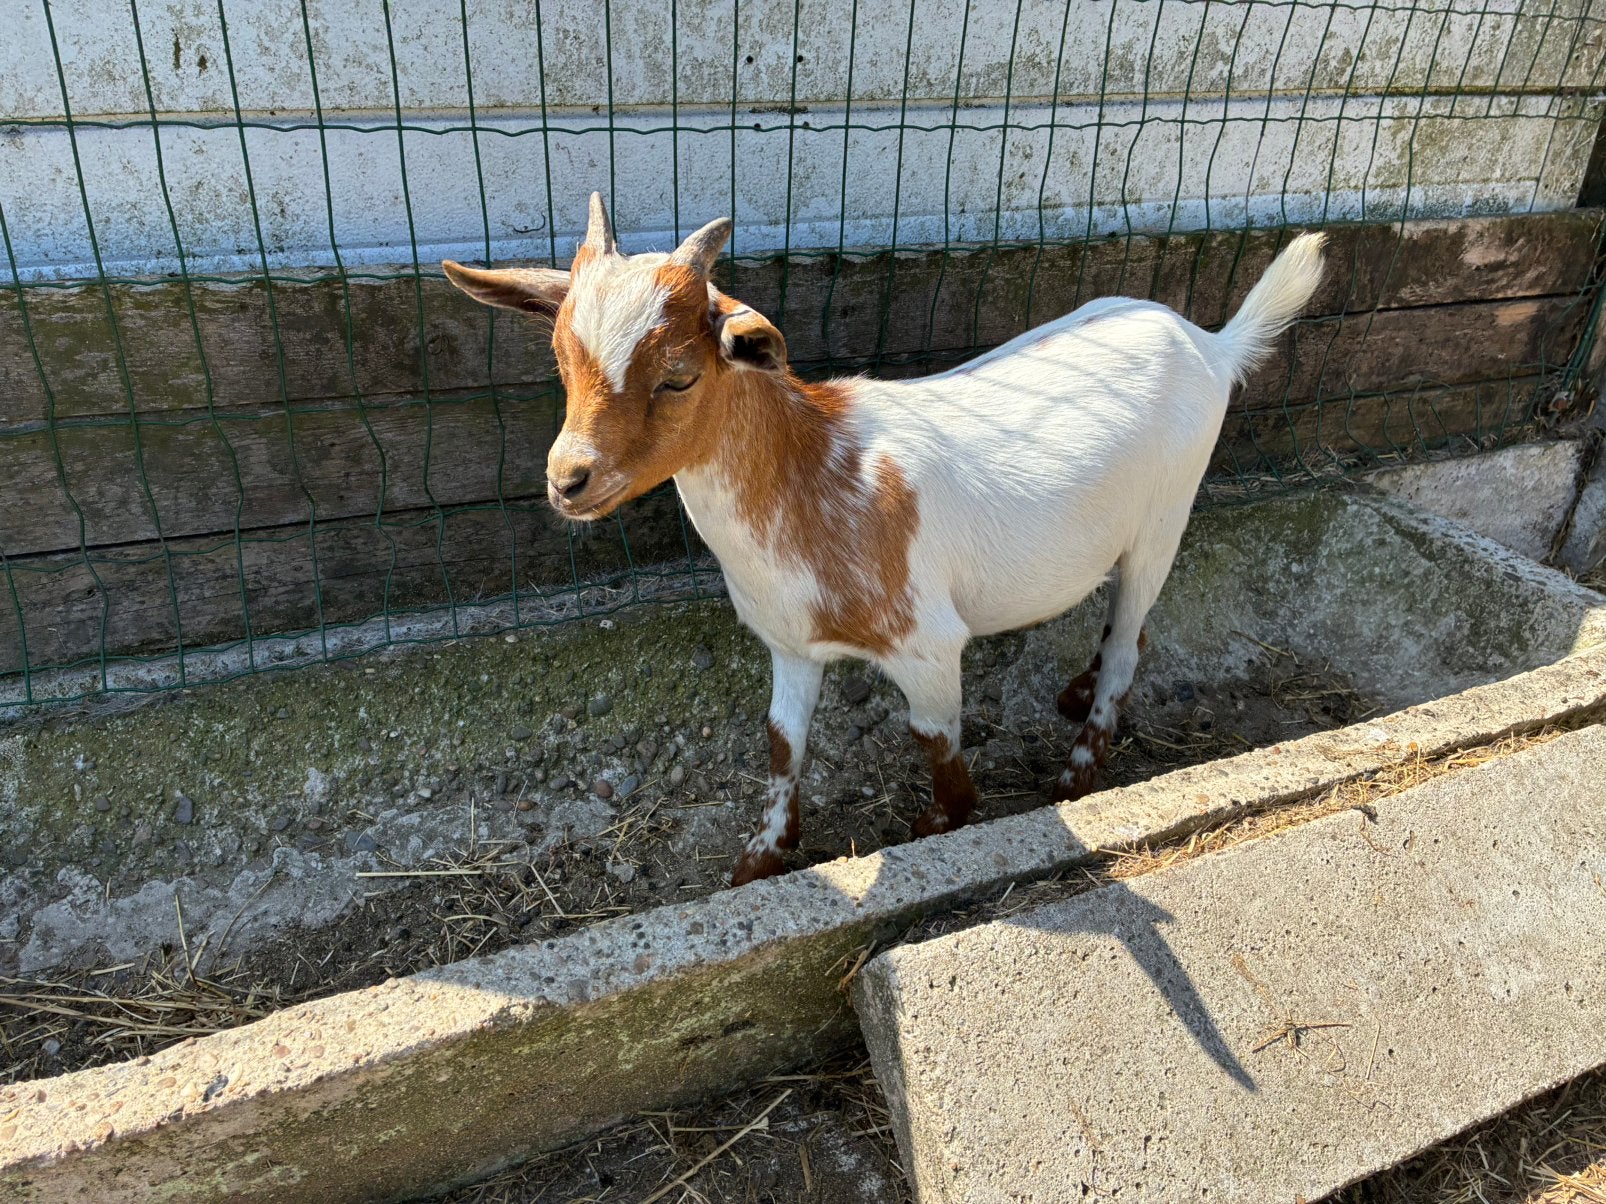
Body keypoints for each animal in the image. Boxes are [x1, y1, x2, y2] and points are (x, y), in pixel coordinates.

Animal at [443, 194, 1326, 887]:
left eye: (679, 376)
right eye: (562, 361)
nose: (568, 478)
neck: (818, 474)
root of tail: (1209, 342)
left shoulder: (928, 644)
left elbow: (939, 753)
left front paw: (936, 827)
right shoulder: (790, 642)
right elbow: (781, 746)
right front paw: (761, 856)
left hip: (1166, 515)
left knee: (1131, 639)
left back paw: (1079, 769)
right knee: (1126, 627)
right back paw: (1075, 697)